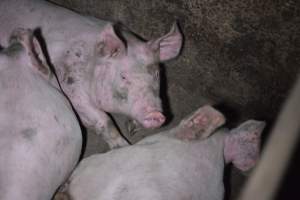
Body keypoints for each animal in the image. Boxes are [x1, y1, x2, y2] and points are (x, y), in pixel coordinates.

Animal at [0, 0, 184, 148]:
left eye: (157, 75)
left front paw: (132, 128)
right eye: (123, 76)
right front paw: (124, 145)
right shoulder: (70, 85)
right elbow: (102, 120)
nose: (156, 114)